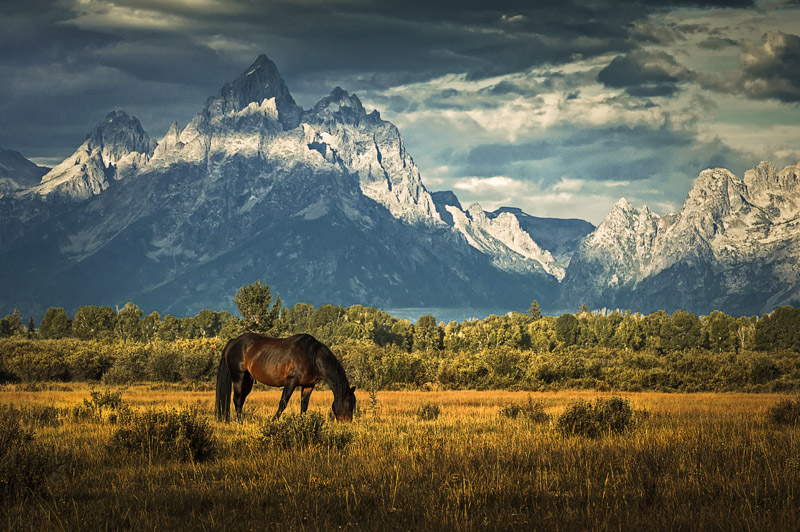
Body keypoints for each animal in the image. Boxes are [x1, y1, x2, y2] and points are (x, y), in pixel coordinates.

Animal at [217, 332, 358, 424]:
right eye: (349, 403)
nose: (347, 423)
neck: (313, 357)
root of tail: (234, 341)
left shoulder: (308, 385)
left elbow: (304, 405)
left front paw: (302, 423)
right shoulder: (291, 382)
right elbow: (283, 403)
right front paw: (273, 421)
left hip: (247, 380)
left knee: (241, 399)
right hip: (238, 377)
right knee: (237, 399)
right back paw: (239, 422)